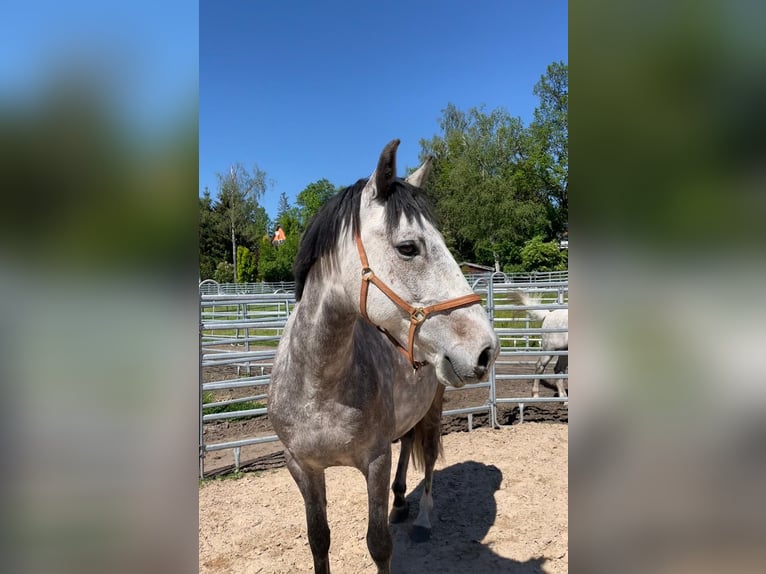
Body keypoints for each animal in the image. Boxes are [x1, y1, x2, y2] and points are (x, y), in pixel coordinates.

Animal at [272, 141, 500, 574]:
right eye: (408, 247)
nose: (486, 349)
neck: (319, 385)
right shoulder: (302, 468)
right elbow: (318, 539)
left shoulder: (374, 462)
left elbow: (379, 544)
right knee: (408, 442)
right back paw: (400, 502)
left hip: (434, 407)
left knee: (428, 456)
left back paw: (422, 518)